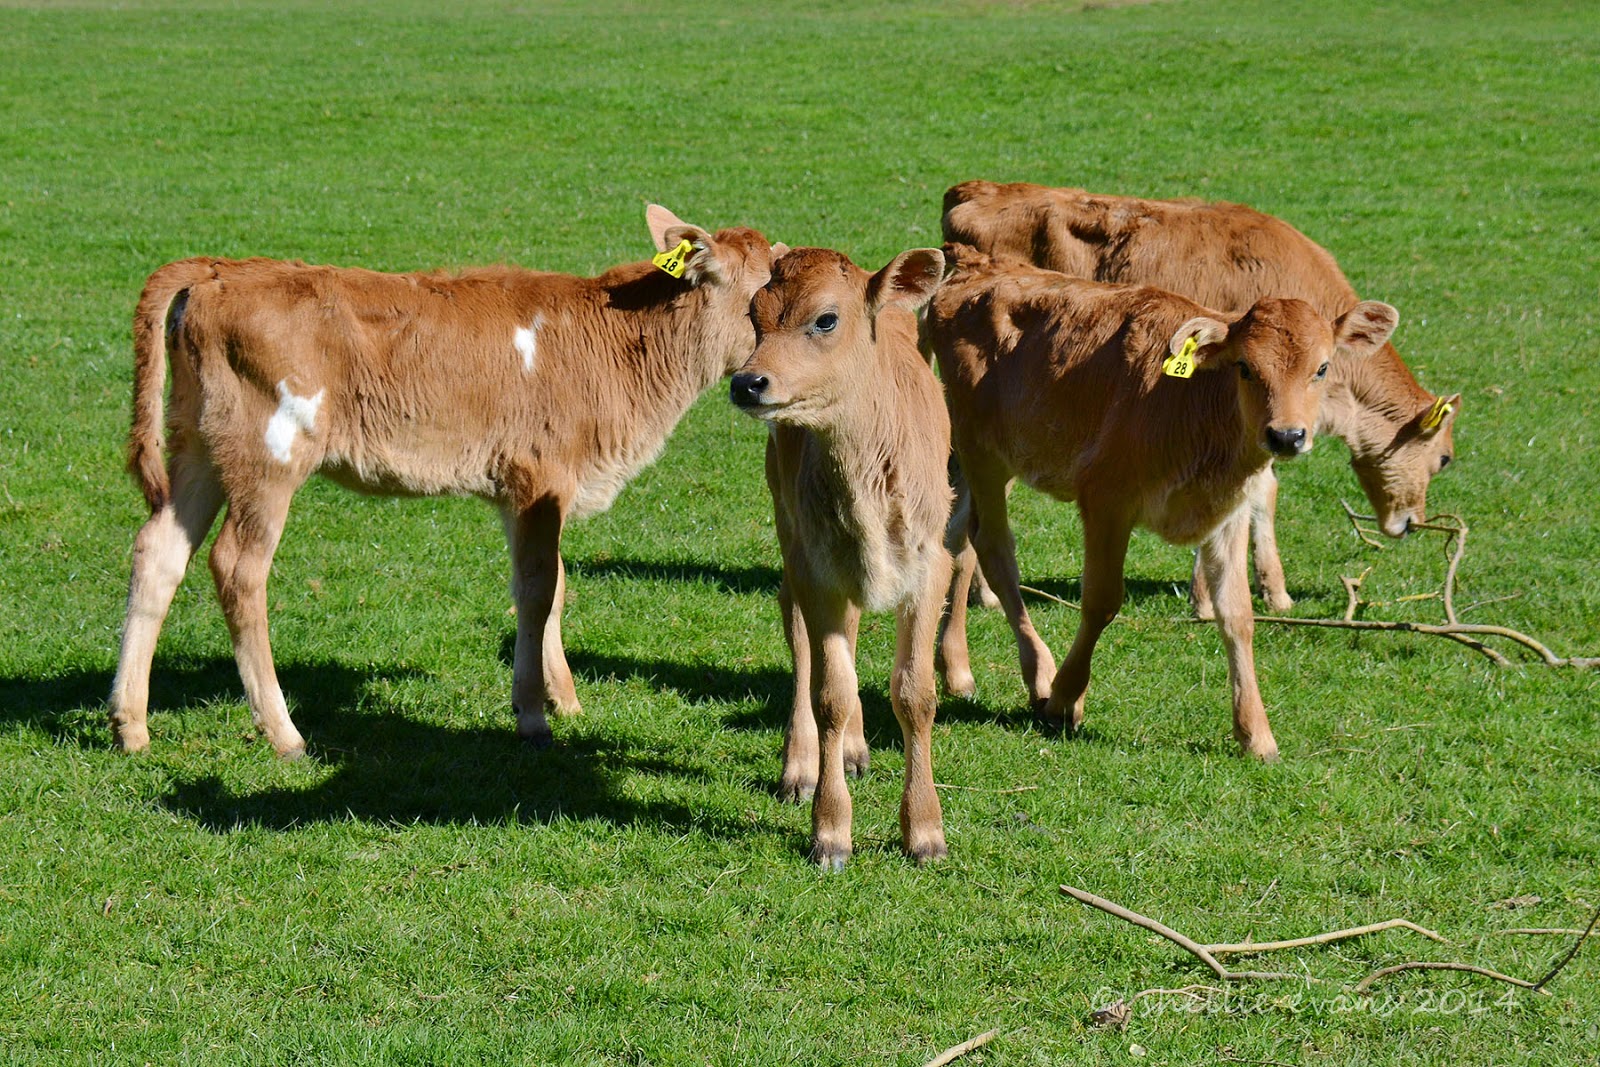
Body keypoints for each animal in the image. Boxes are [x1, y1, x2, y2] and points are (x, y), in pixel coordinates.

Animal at [109, 206, 781, 758]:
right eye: (761, 299)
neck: (615, 341)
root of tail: (223, 269)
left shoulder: (523, 493)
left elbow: (549, 584)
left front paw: (564, 699)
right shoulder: (540, 476)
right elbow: (539, 590)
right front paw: (532, 716)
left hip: (199, 444)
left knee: (159, 550)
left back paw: (131, 726)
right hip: (268, 453)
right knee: (238, 568)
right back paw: (283, 732)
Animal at [729, 246, 952, 868]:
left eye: (826, 319)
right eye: (754, 313)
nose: (747, 382)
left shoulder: (932, 564)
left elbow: (915, 693)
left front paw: (925, 832)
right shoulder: (817, 570)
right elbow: (830, 693)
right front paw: (829, 832)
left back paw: (854, 750)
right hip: (791, 535)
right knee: (805, 646)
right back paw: (801, 766)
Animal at [928, 246, 1398, 760]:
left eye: (1322, 368)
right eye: (1245, 367)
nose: (1286, 435)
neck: (1192, 400)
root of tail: (976, 264)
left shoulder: (1229, 513)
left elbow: (1238, 614)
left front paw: (1256, 732)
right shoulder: (1107, 500)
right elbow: (1101, 601)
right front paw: (1066, 698)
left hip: (973, 458)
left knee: (956, 538)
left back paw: (954, 668)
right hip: (984, 452)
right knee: (992, 547)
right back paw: (1039, 675)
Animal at [942, 180, 1459, 616]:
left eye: (1321, 366)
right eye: (1444, 458)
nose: (1411, 521)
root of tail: (972, 191)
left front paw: (1259, 590)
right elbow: (1261, 493)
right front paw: (1221, 598)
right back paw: (988, 595)